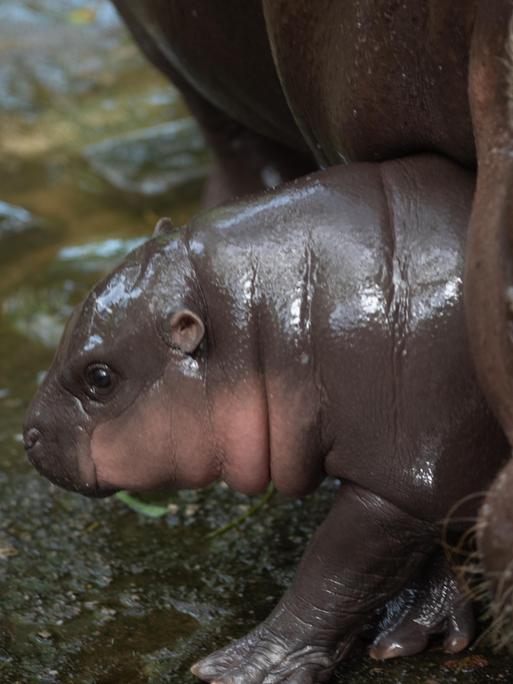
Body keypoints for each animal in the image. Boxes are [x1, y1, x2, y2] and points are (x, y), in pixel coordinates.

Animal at [23, 155, 504, 684]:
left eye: (101, 377)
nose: (27, 433)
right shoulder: (436, 471)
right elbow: (438, 540)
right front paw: (412, 629)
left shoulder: (404, 472)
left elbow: (334, 572)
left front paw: (243, 667)